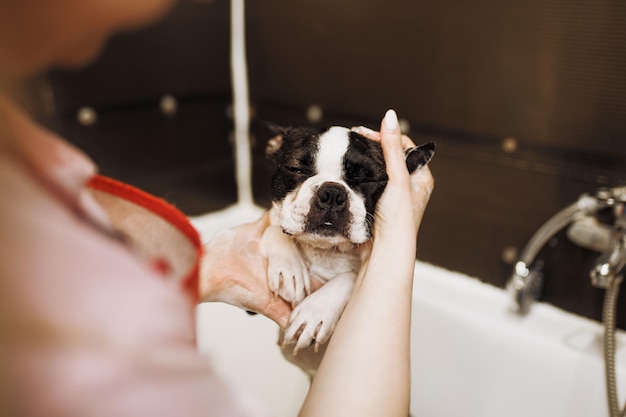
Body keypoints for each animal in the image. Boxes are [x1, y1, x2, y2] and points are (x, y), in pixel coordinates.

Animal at [260, 123, 434, 354]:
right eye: (295, 169)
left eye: (369, 179)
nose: (332, 193)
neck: (324, 251)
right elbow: (274, 230)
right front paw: (289, 269)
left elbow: (349, 277)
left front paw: (315, 311)